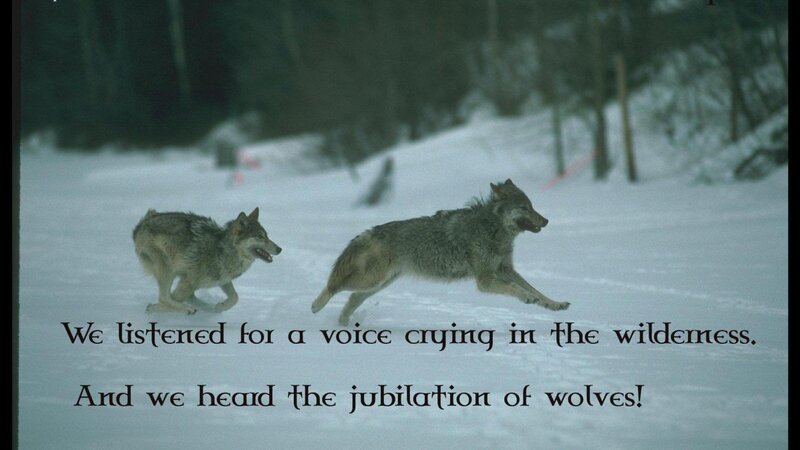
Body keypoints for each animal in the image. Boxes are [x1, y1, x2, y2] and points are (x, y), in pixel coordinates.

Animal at [133, 207, 281, 314]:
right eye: (260, 237)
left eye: (267, 236)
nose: (280, 249)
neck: (223, 251)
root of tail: (142, 223)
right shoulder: (190, 282)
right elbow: (168, 299)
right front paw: (153, 308)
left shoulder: (222, 279)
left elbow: (235, 298)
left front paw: (219, 307)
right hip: (167, 269)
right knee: (164, 297)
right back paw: (188, 309)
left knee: (186, 297)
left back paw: (206, 307)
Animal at [312, 179, 569, 325]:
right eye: (524, 208)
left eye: (533, 206)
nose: (546, 221)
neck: (492, 228)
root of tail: (371, 231)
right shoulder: (485, 280)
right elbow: (518, 290)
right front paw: (527, 298)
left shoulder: (506, 270)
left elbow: (536, 289)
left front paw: (553, 304)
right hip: (372, 280)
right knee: (334, 287)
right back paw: (316, 307)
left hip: (378, 284)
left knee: (352, 297)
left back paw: (343, 324)